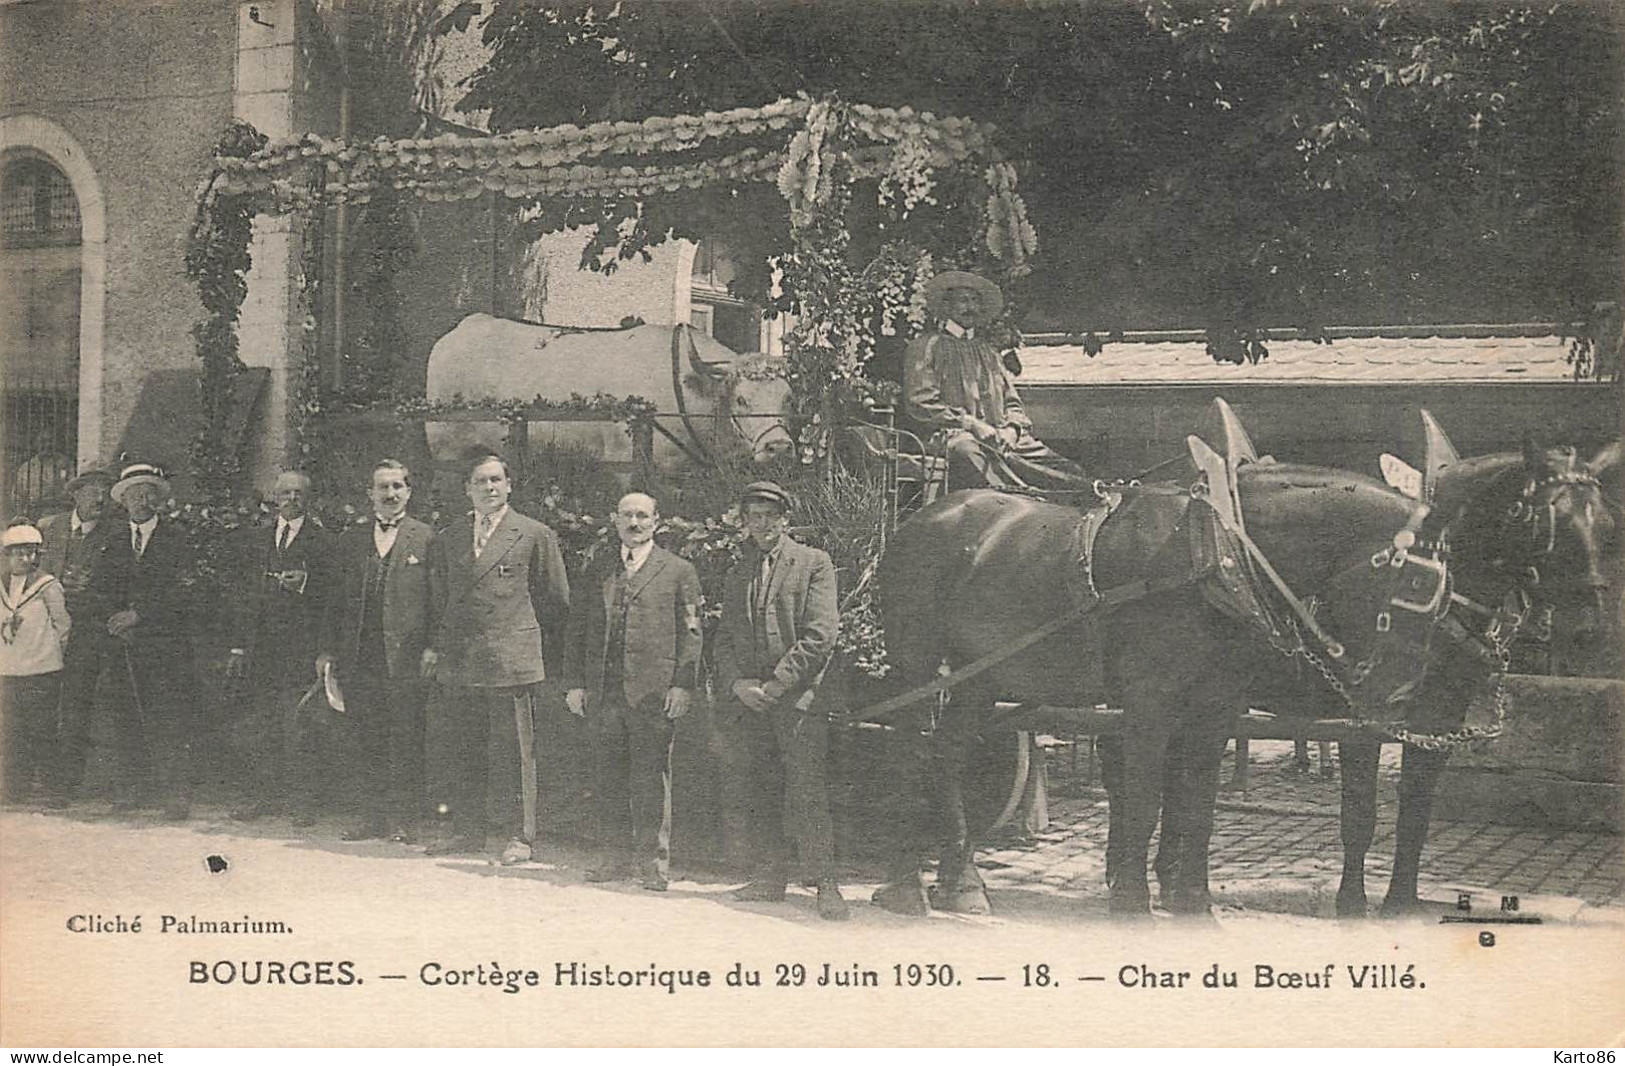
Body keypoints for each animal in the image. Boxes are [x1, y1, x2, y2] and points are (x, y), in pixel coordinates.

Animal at [877, 445, 1449, 923]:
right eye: (1418, 582)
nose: (1399, 696)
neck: (1212, 555)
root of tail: (922, 519)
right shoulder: (1150, 701)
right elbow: (1145, 796)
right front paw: (1132, 900)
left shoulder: (1215, 707)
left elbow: (1197, 802)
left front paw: (1194, 902)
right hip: (915, 663)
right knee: (907, 755)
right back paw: (907, 886)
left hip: (980, 674)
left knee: (948, 755)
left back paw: (962, 884)